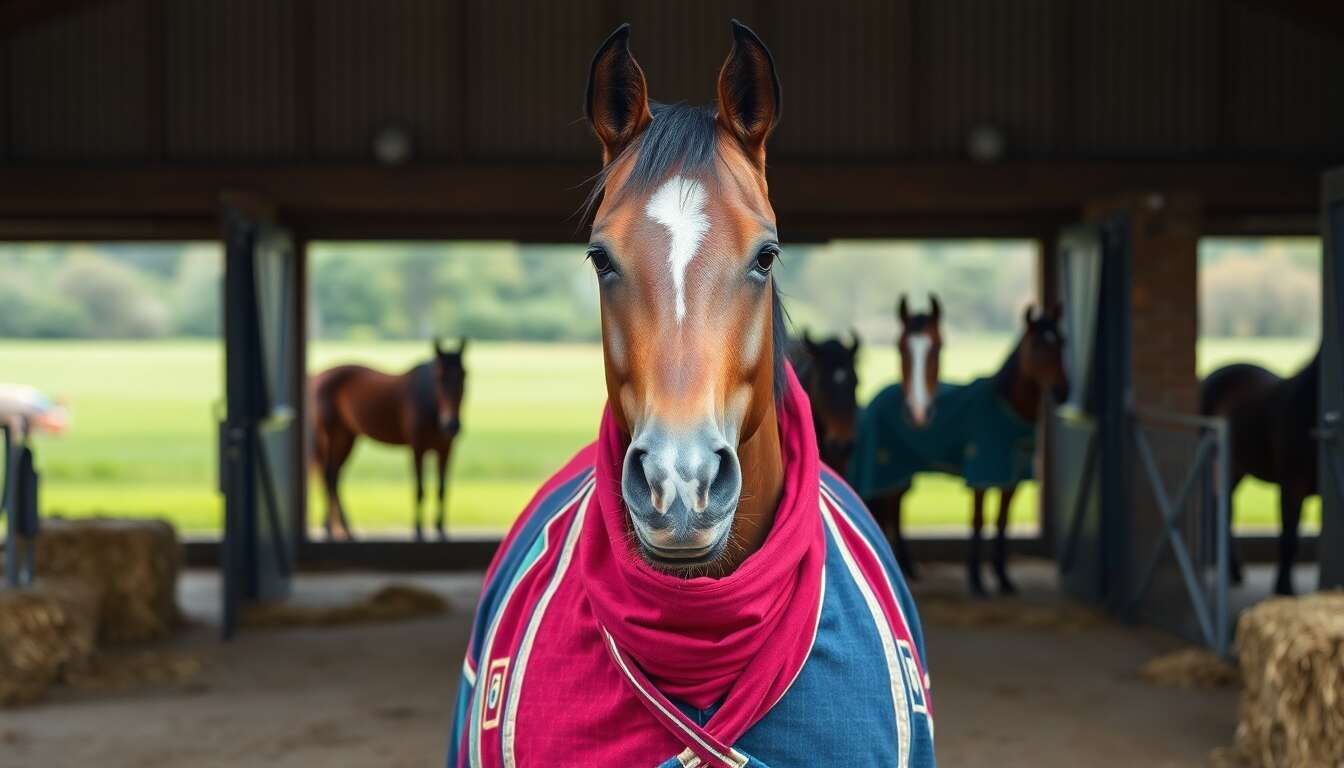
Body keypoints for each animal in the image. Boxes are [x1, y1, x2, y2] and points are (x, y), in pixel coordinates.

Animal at [309, 338, 466, 541]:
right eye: (439, 378)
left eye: (464, 376)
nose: (452, 425)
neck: (430, 405)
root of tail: (317, 377)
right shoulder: (417, 448)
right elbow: (420, 489)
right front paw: (418, 531)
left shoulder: (446, 450)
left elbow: (442, 490)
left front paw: (441, 531)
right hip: (331, 435)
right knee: (328, 475)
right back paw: (340, 529)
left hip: (346, 437)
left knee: (332, 476)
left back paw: (337, 529)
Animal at [851, 300, 1068, 596]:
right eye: (1036, 345)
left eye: (1062, 342)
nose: (1063, 392)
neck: (1007, 407)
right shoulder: (980, 472)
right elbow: (978, 521)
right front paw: (976, 580)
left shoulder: (1011, 479)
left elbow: (1002, 522)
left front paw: (1004, 579)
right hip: (885, 466)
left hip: (900, 474)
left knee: (894, 509)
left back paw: (908, 568)